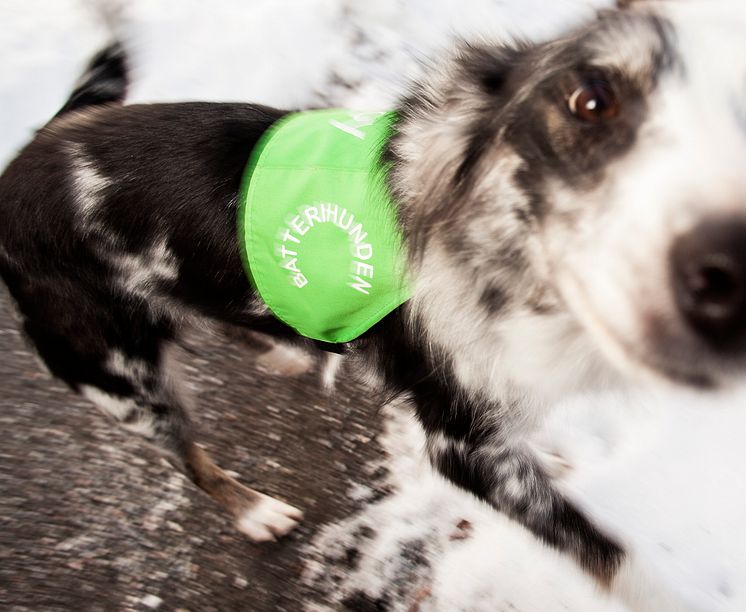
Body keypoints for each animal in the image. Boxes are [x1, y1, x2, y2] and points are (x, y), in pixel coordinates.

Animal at [0, 0, 740, 608]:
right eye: (591, 101)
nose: (725, 273)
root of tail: (29, 153)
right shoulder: (461, 445)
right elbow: (612, 553)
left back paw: (284, 347)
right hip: (122, 381)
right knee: (190, 460)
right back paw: (255, 511)